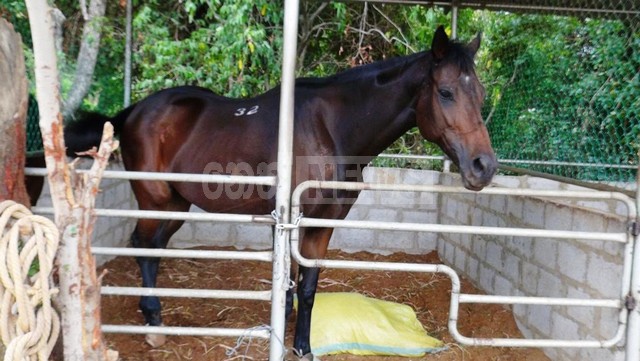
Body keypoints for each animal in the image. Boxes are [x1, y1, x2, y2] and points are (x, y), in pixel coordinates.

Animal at [63, 26, 496, 358]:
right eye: (445, 92)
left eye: (480, 94)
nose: (484, 167)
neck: (331, 128)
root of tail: (133, 112)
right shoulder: (294, 218)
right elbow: (294, 282)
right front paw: (292, 338)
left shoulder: (324, 223)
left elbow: (306, 286)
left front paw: (297, 338)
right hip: (155, 200)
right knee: (142, 245)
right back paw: (154, 322)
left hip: (177, 203)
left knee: (153, 248)